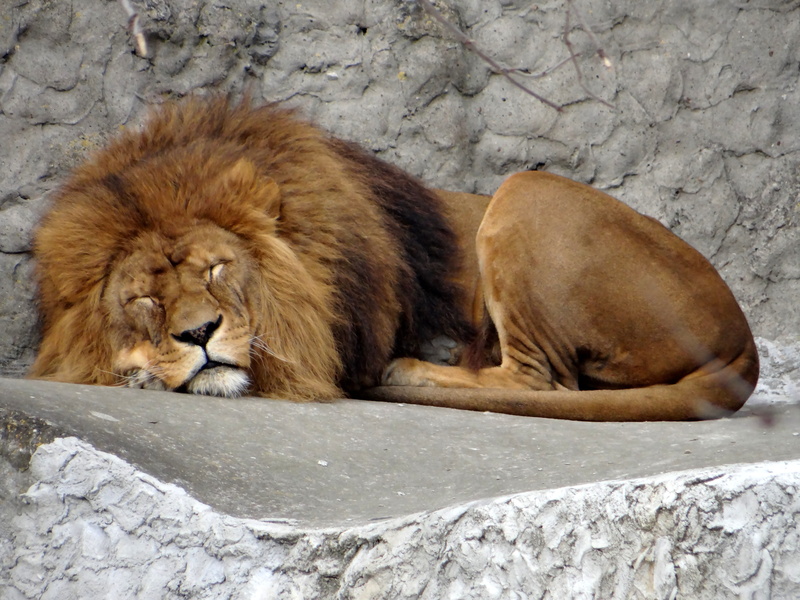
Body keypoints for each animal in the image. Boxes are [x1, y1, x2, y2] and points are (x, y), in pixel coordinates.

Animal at [30, 96, 759, 421]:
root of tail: (743, 342)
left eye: (216, 268)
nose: (200, 334)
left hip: (526, 191)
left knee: (537, 381)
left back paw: (409, 367)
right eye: (143, 299)